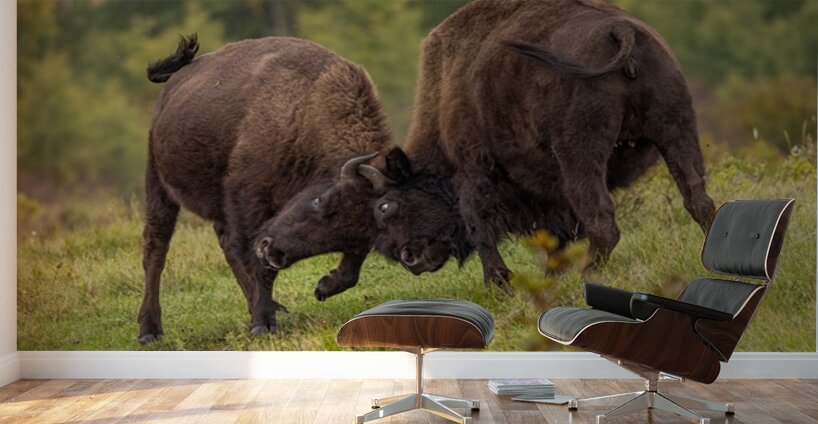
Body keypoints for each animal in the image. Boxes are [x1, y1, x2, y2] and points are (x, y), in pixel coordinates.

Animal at [139, 35, 389, 342]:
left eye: (350, 233)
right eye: (319, 201)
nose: (274, 252)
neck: (307, 110)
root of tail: (173, 84)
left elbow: (353, 266)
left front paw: (323, 287)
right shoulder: (249, 199)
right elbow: (257, 263)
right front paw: (263, 323)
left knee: (226, 245)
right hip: (158, 184)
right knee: (156, 248)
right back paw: (150, 330)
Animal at [362, 0, 716, 287]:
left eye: (387, 205)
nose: (409, 258)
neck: (446, 89)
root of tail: (620, 29)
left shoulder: (472, 169)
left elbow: (480, 228)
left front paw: (499, 284)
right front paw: (548, 276)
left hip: (579, 155)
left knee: (602, 221)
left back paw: (586, 276)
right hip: (676, 131)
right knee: (698, 199)